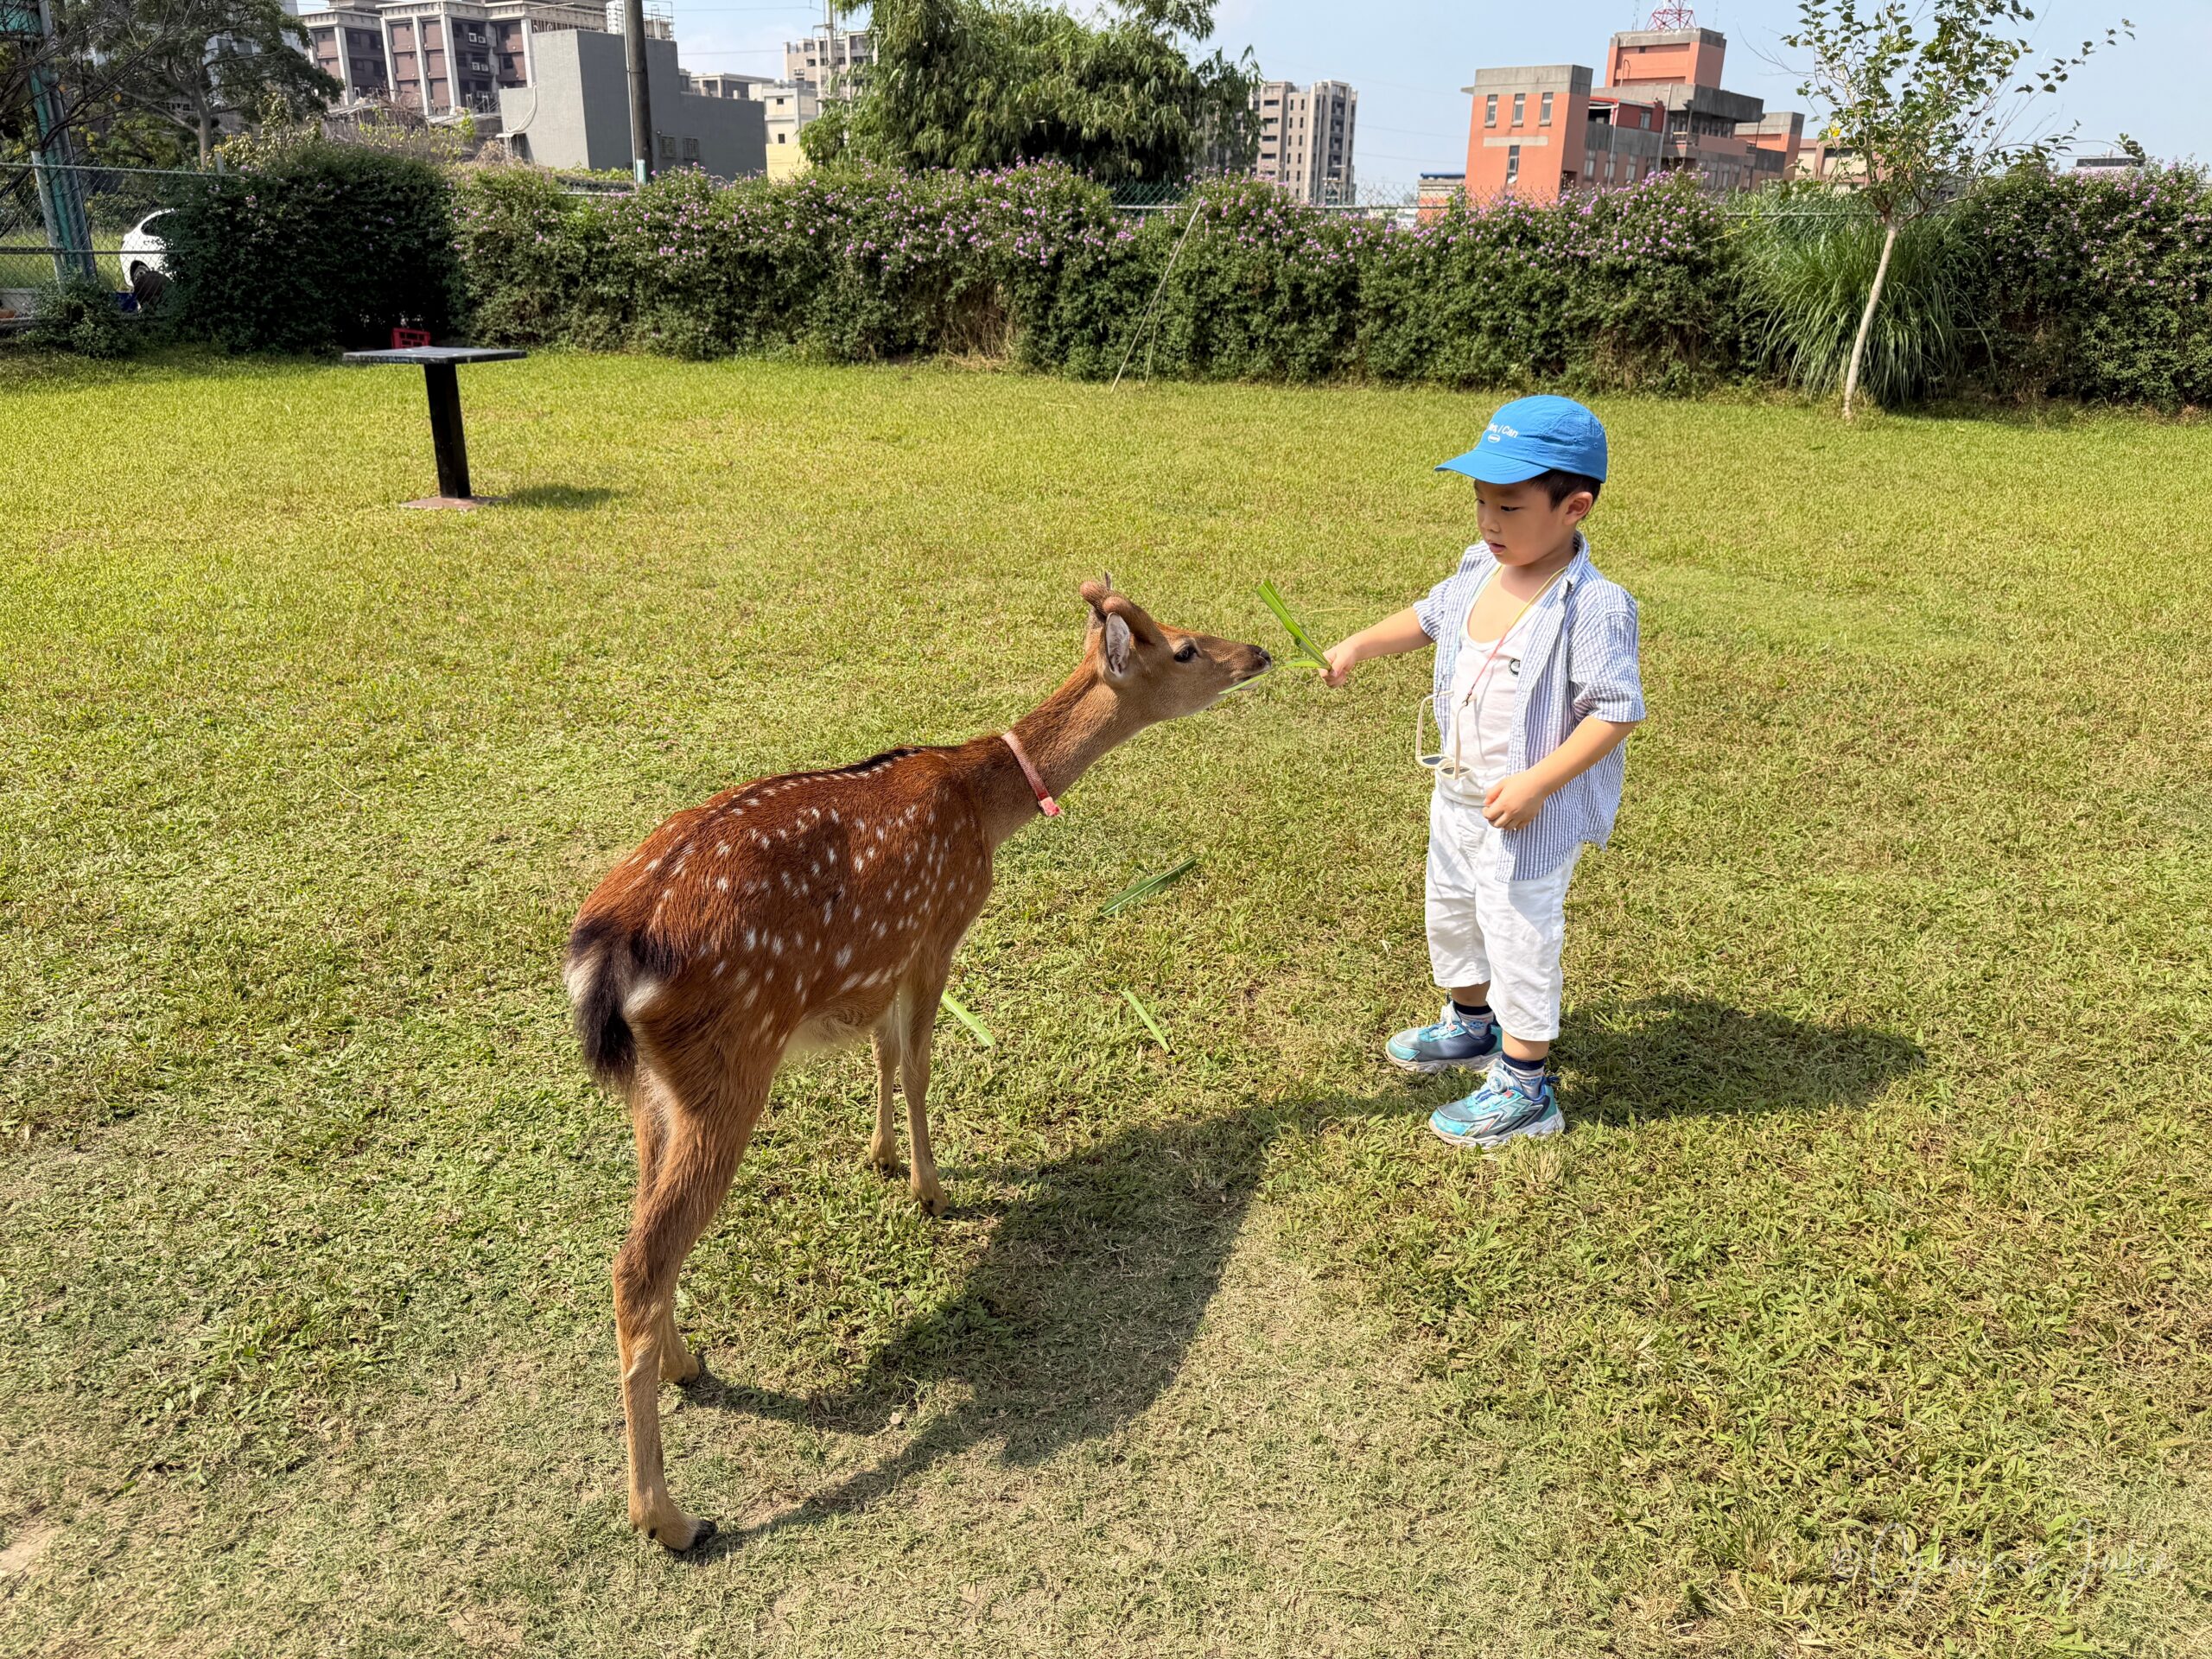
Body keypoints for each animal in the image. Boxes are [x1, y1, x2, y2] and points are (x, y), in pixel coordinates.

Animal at [563, 578, 1271, 1552]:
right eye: (1189, 648)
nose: (1262, 654)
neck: (984, 804)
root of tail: (608, 953)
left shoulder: (885, 958)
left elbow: (884, 1056)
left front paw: (881, 1157)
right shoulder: (939, 926)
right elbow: (922, 1062)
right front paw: (933, 1191)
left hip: (651, 1088)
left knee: (638, 1241)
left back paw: (688, 1364)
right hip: (727, 1066)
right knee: (642, 1262)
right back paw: (671, 1517)